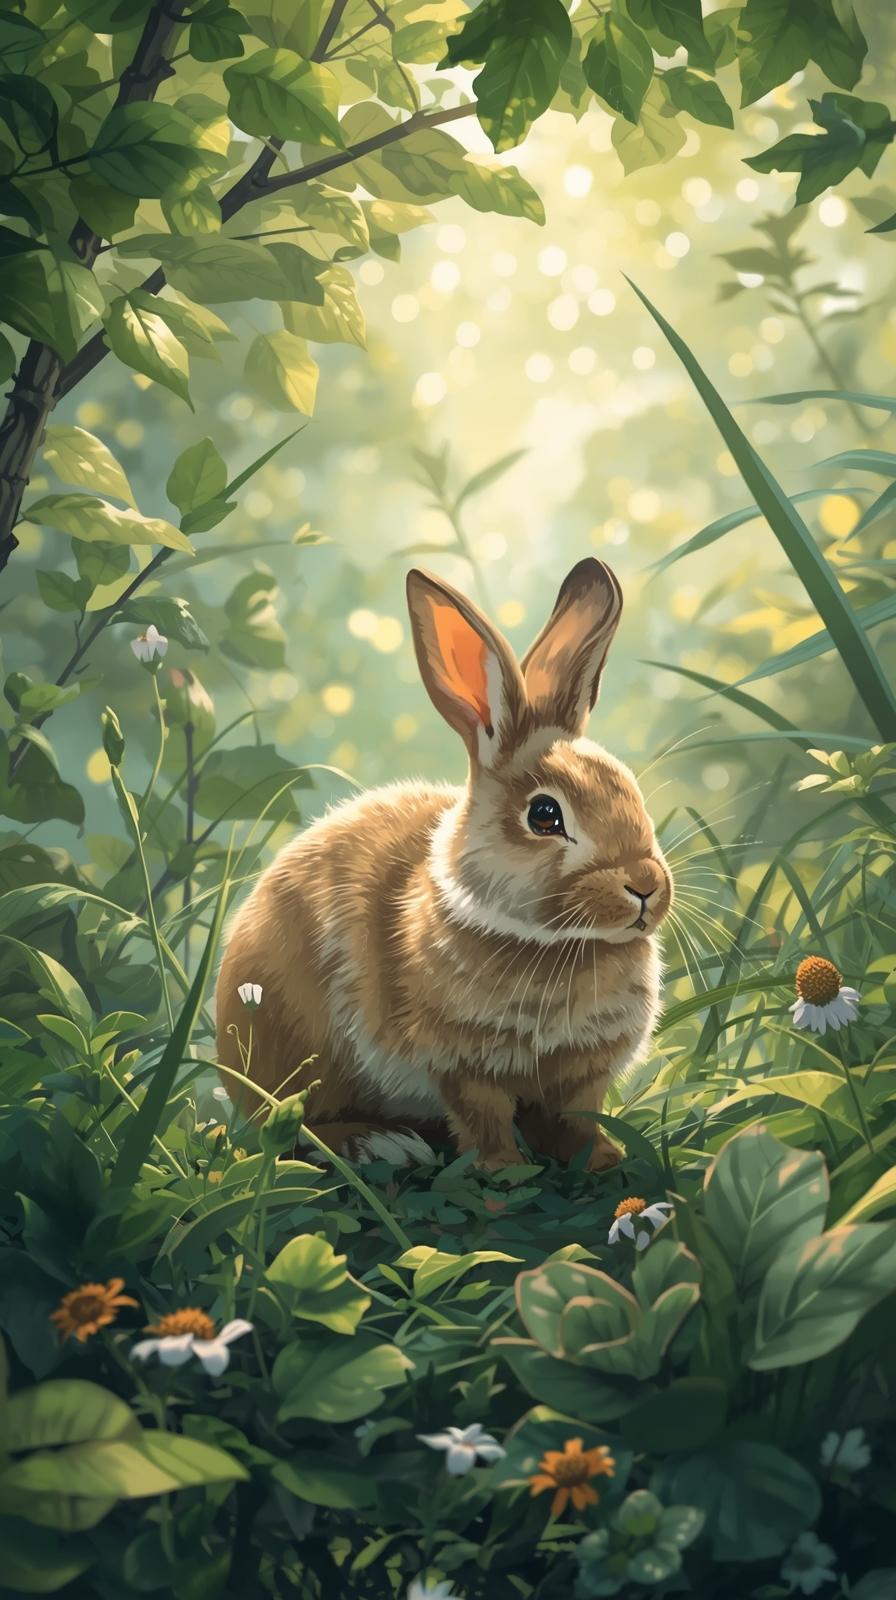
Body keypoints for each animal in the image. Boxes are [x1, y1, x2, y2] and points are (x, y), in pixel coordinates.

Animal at [215, 557, 673, 1172]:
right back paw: (380, 1142)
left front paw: (607, 1159)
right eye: (545, 815)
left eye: (630, 790)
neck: (556, 943)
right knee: (292, 1128)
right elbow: (484, 1118)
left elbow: (577, 1118)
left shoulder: (582, 1076)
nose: (645, 885)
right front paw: (506, 1172)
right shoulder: (461, 1064)